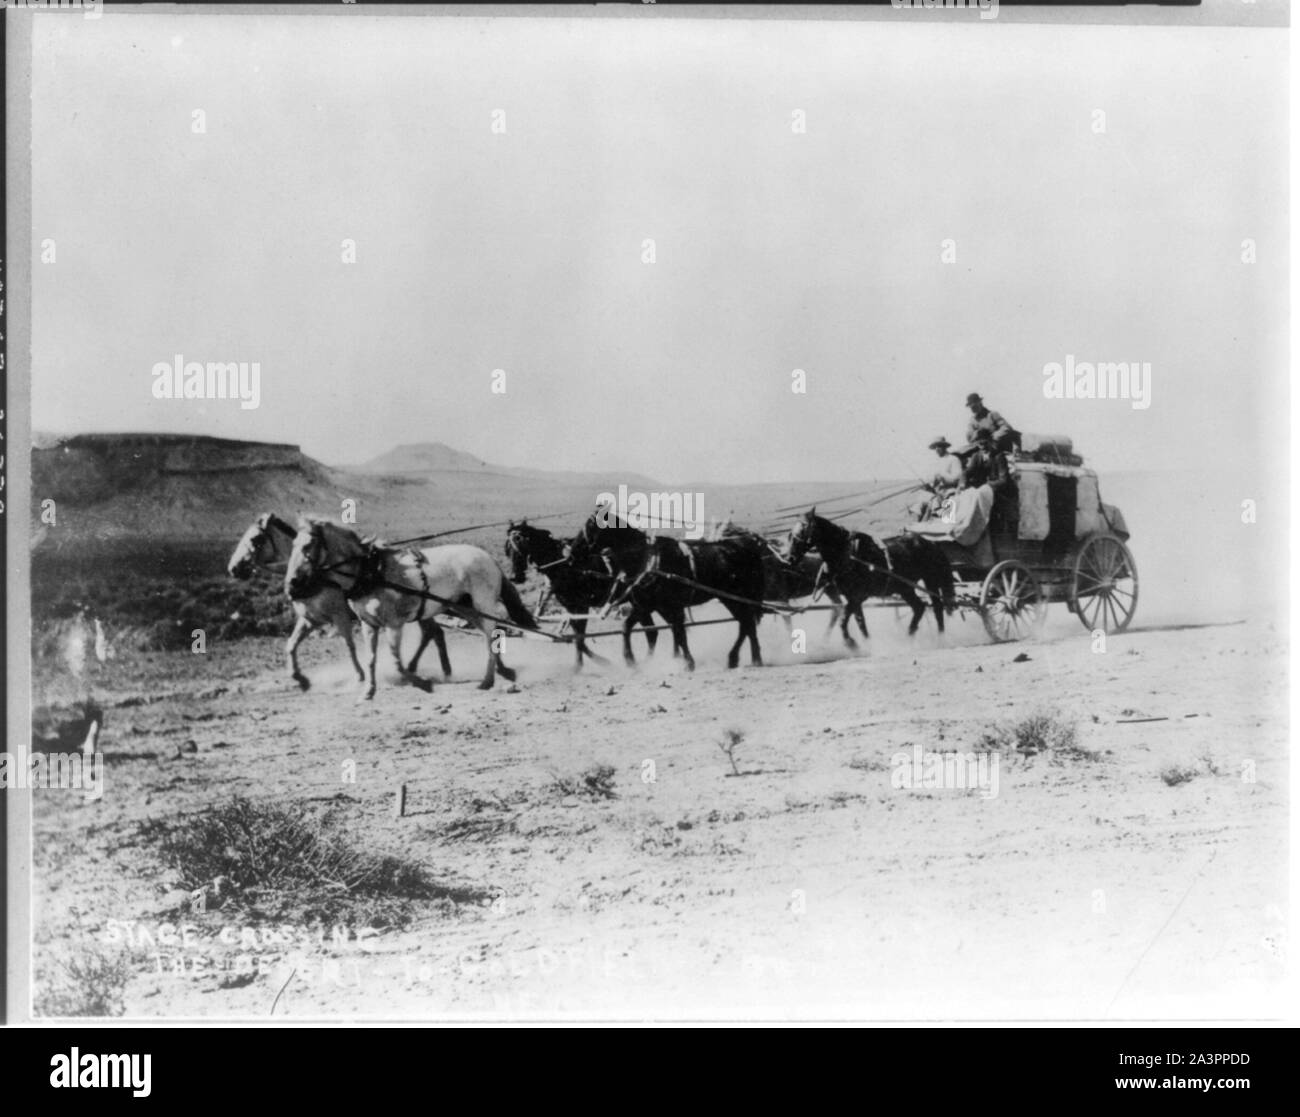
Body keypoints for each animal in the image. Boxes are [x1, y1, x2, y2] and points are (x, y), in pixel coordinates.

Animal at [231, 512, 454, 691]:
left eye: (256, 539)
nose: (234, 568)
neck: (321, 576)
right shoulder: (310, 619)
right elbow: (291, 644)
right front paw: (299, 678)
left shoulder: (339, 616)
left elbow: (349, 645)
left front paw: (360, 675)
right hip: (421, 610)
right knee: (433, 633)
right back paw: (431, 668)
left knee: (433, 632)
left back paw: (426, 669)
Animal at [284, 517, 533, 696]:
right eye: (292, 544)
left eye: (308, 545)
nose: (292, 584)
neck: (371, 571)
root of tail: (489, 559)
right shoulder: (368, 624)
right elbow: (371, 658)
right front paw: (369, 690)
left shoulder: (393, 624)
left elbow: (395, 660)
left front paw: (420, 682)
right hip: (466, 608)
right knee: (485, 634)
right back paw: (502, 671)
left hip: (483, 604)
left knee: (491, 634)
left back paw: (488, 680)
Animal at [780, 507, 956, 647]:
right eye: (790, 533)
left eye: (802, 530)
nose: (789, 558)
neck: (847, 555)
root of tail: (930, 543)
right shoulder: (853, 598)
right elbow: (859, 622)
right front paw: (864, 643)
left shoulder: (857, 596)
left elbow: (845, 620)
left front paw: (851, 643)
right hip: (905, 588)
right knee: (920, 607)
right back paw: (910, 635)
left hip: (930, 580)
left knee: (937, 608)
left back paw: (939, 639)